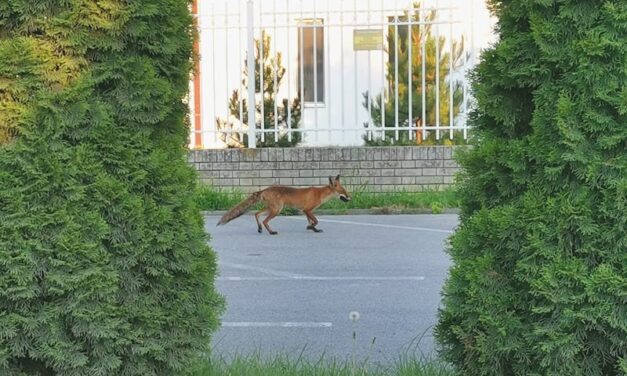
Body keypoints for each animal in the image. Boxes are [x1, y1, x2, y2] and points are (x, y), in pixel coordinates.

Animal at [218, 175, 350, 234]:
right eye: (343, 191)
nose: (350, 197)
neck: (320, 194)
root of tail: (265, 189)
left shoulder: (306, 211)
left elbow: (311, 222)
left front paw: (313, 229)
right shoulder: (307, 210)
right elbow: (315, 221)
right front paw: (312, 228)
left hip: (272, 208)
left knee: (256, 214)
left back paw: (260, 229)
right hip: (277, 210)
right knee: (265, 220)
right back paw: (271, 232)